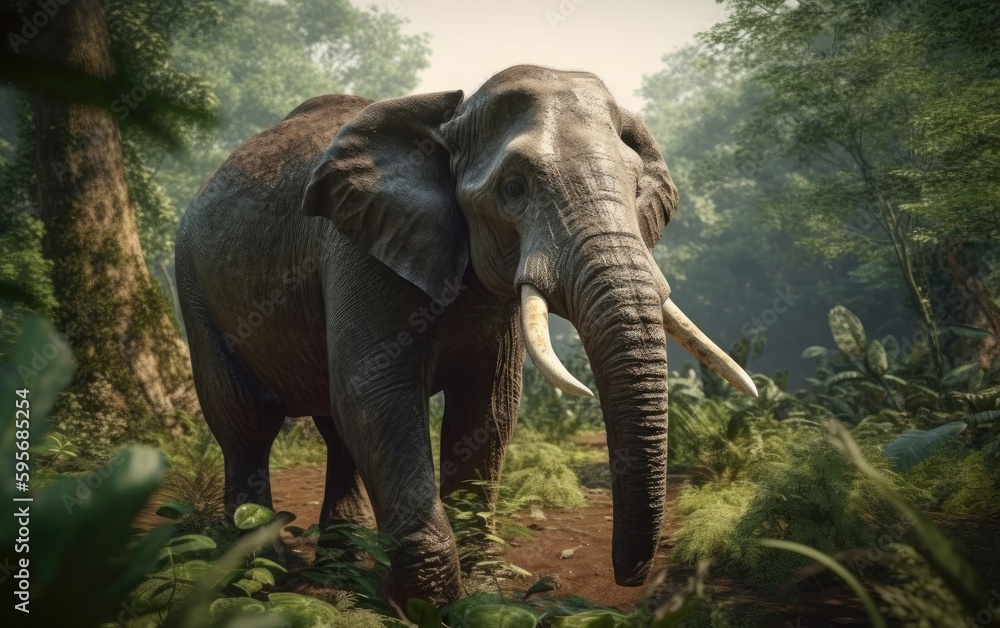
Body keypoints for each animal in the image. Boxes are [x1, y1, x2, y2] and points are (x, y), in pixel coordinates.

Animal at [175, 64, 757, 605]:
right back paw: (260, 579)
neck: (452, 118)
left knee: (335, 428)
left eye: (636, 189)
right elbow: (379, 394)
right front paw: (427, 603)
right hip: (195, 287)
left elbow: (488, 406)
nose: (629, 577)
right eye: (514, 188)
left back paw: (340, 574)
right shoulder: (358, 247)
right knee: (247, 424)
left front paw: (479, 592)